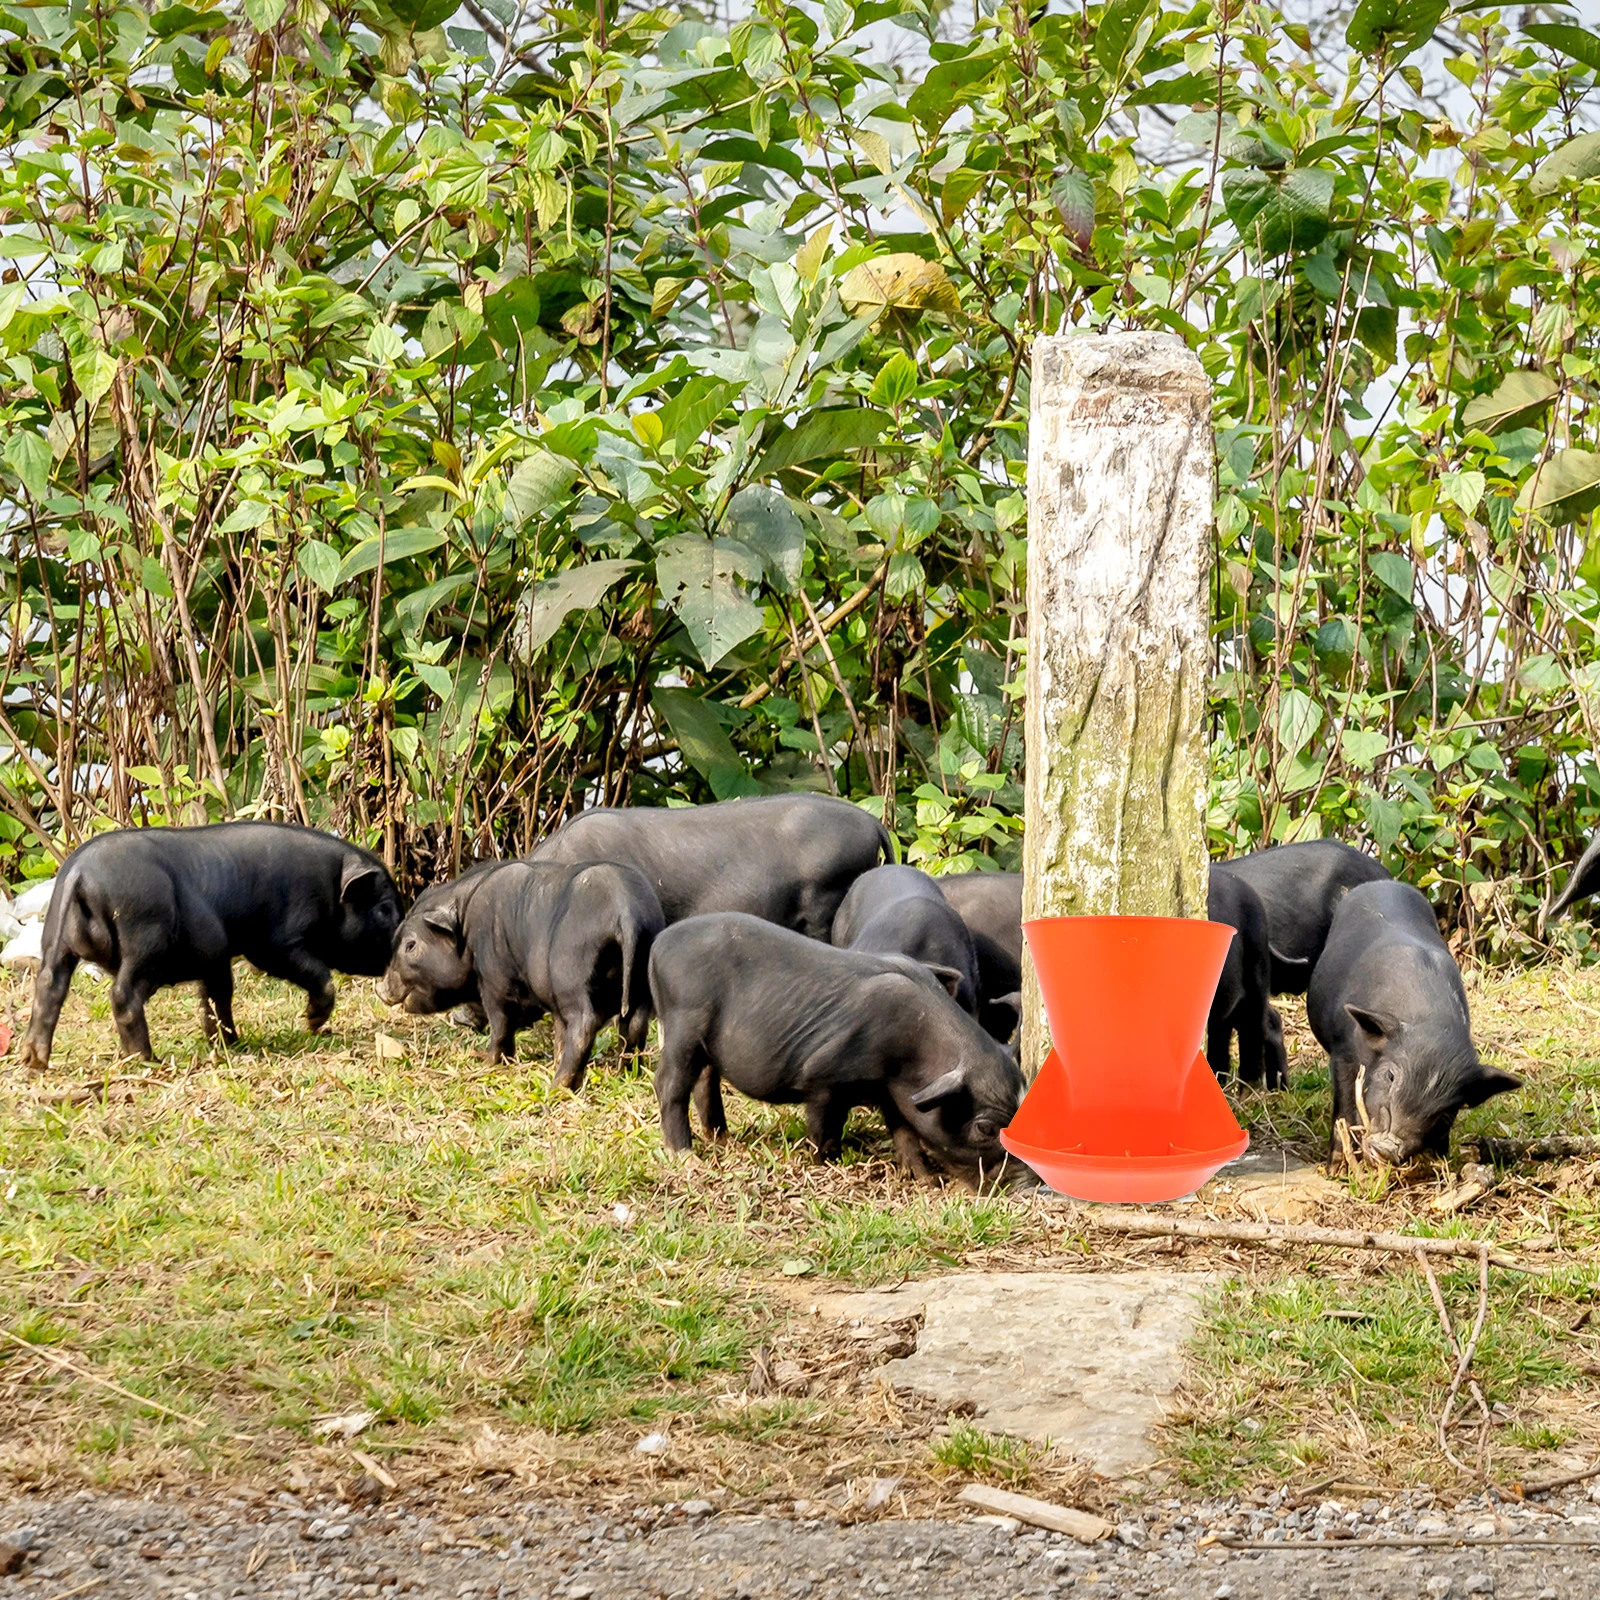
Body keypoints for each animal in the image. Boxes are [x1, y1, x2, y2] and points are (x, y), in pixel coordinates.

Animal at [19, 821, 402, 1070]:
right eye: (384, 909)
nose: (400, 943)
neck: (329, 886)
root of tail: (80, 874)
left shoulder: (216, 955)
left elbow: (219, 994)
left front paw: (229, 1042)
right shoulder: (274, 943)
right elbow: (316, 973)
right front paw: (312, 1023)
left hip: (56, 939)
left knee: (49, 986)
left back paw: (34, 1061)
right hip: (145, 935)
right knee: (123, 995)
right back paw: (147, 1060)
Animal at [378, 858, 663, 1086]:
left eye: (410, 945)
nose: (380, 989)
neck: (468, 928)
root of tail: (625, 913)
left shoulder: (494, 982)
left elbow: (501, 1022)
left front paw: (487, 1061)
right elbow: (557, 1030)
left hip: (571, 978)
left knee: (584, 1025)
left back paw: (557, 1086)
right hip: (640, 985)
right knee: (633, 1026)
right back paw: (624, 1073)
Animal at [647, 912, 1026, 1183]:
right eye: (985, 1128)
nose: (1025, 1183)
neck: (916, 1048)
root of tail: (658, 945)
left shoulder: (893, 1093)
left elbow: (905, 1133)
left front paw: (925, 1179)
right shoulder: (822, 1078)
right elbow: (825, 1127)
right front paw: (827, 1161)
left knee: (705, 1081)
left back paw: (721, 1139)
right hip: (683, 1024)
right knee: (669, 1084)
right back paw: (686, 1157)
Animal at [1306, 880, 1520, 1163]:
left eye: (1447, 1111)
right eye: (1390, 1076)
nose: (1387, 1147)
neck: (1430, 1020)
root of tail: (1384, 883)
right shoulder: (1343, 1050)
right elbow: (1345, 1105)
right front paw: (1336, 1167)